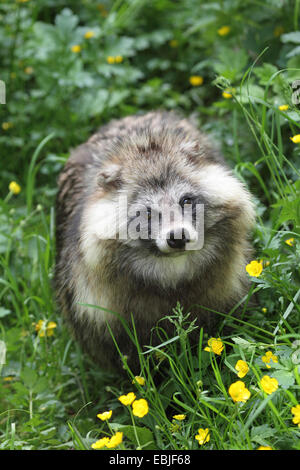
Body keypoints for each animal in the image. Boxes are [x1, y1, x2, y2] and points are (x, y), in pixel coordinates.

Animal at [55, 111, 254, 370]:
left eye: (186, 201)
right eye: (147, 213)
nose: (178, 237)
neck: (171, 273)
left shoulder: (227, 293)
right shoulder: (100, 316)